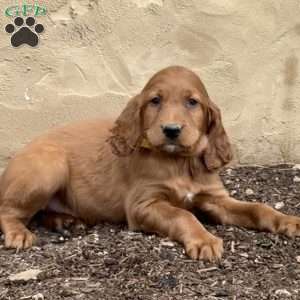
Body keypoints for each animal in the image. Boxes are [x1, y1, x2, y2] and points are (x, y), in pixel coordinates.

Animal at [0, 66, 300, 260]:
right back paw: (20, 234)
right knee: (8, 210)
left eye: (192, 102)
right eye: (155, 100)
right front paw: (204, 239)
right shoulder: (143, 204)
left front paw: (288, 221)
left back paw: (66, 221)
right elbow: (183, 214)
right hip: (49, 167)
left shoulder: (215, 198)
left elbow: (258, 208)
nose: (171, 130)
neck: (179, 162)